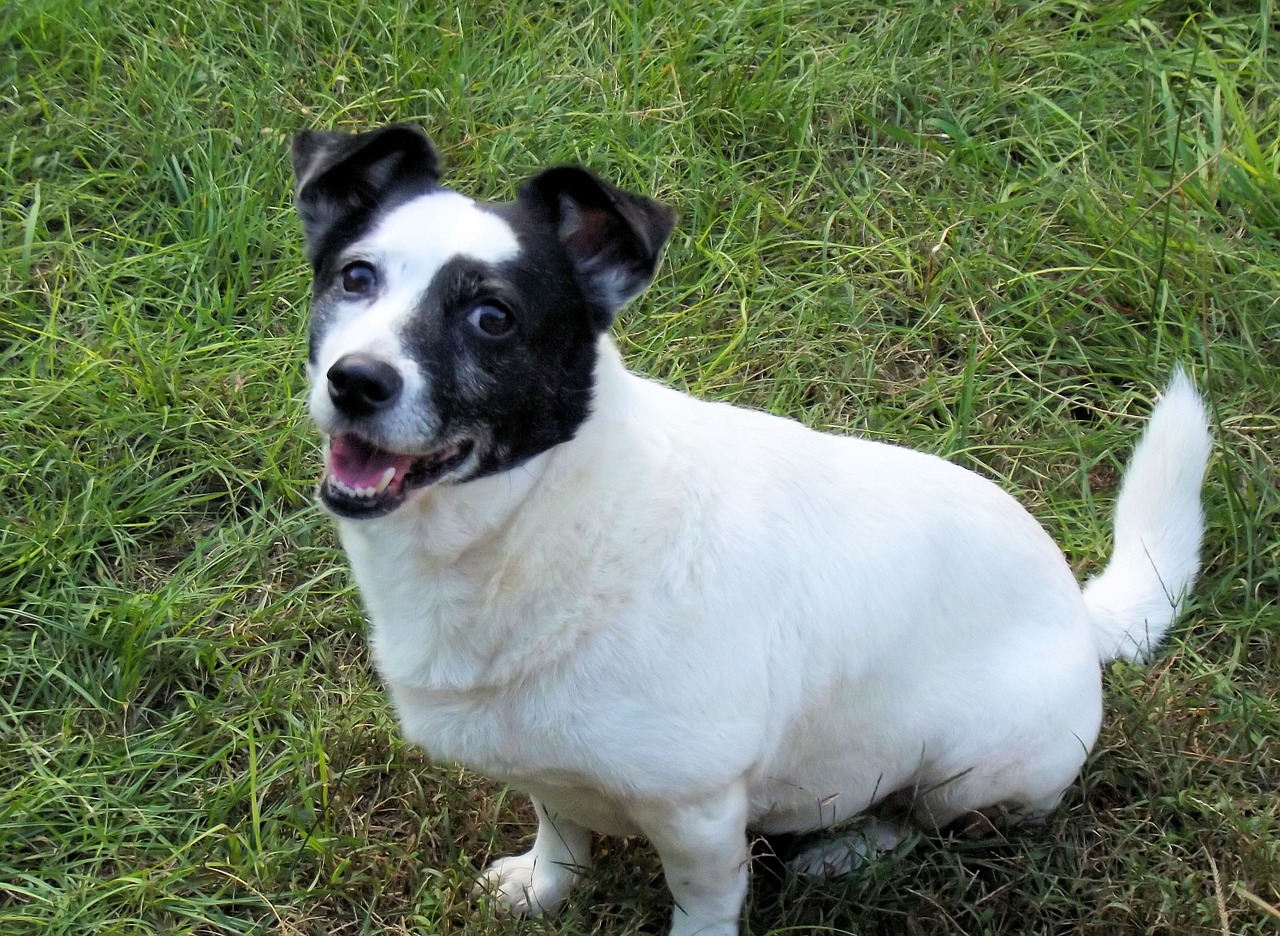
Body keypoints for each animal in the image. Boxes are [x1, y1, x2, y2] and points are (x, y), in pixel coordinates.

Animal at [288, 124, 1208, 936]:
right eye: (355, 277)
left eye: (493, 317)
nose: (356, 381)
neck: (533, 522)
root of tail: (1082, 618)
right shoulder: (544, 762)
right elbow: (562, 829)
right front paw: (545, 889)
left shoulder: (697, 814)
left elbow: (701, 906)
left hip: (972, 763)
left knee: (923, 820)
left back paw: (848, 850)